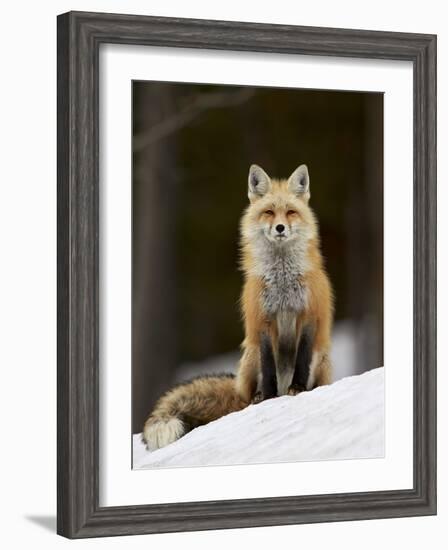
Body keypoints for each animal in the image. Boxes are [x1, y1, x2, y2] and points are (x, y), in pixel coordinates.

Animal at [142, 165, 334, 452]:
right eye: (269, 212)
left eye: (290, 212)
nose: (280, 227)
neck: (282, 280)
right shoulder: (262, 321)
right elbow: (268, 367)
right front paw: (268, 397)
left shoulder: (308, 315)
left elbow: (301, 358)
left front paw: (298, 389)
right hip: (249, 356)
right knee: (249, 391)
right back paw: (257, 398)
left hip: (321, 359)